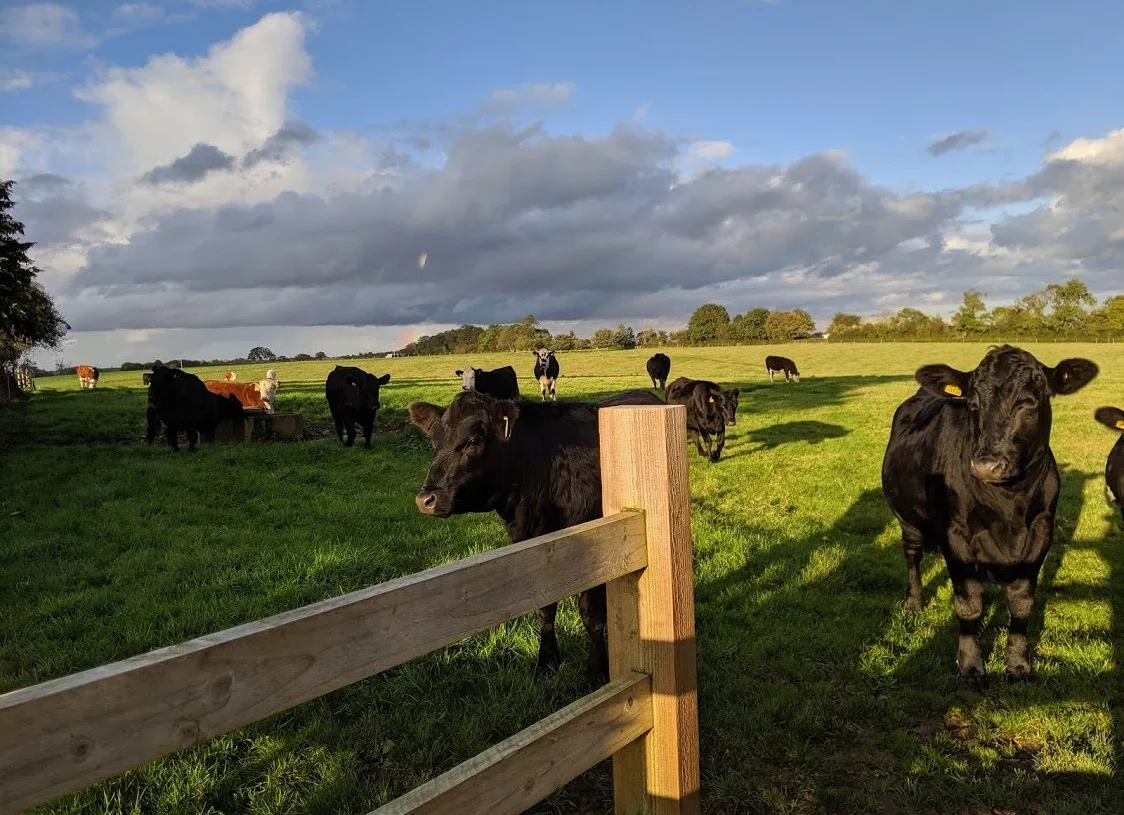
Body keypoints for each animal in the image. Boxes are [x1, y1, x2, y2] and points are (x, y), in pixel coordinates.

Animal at [409, 388, 660, 687]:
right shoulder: (532, 545)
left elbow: (591, 612)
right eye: (434, 442)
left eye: (473, 440)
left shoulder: (600, 544)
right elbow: (545, 607)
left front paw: (596, 670)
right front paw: (546, 661)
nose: (426, 499)